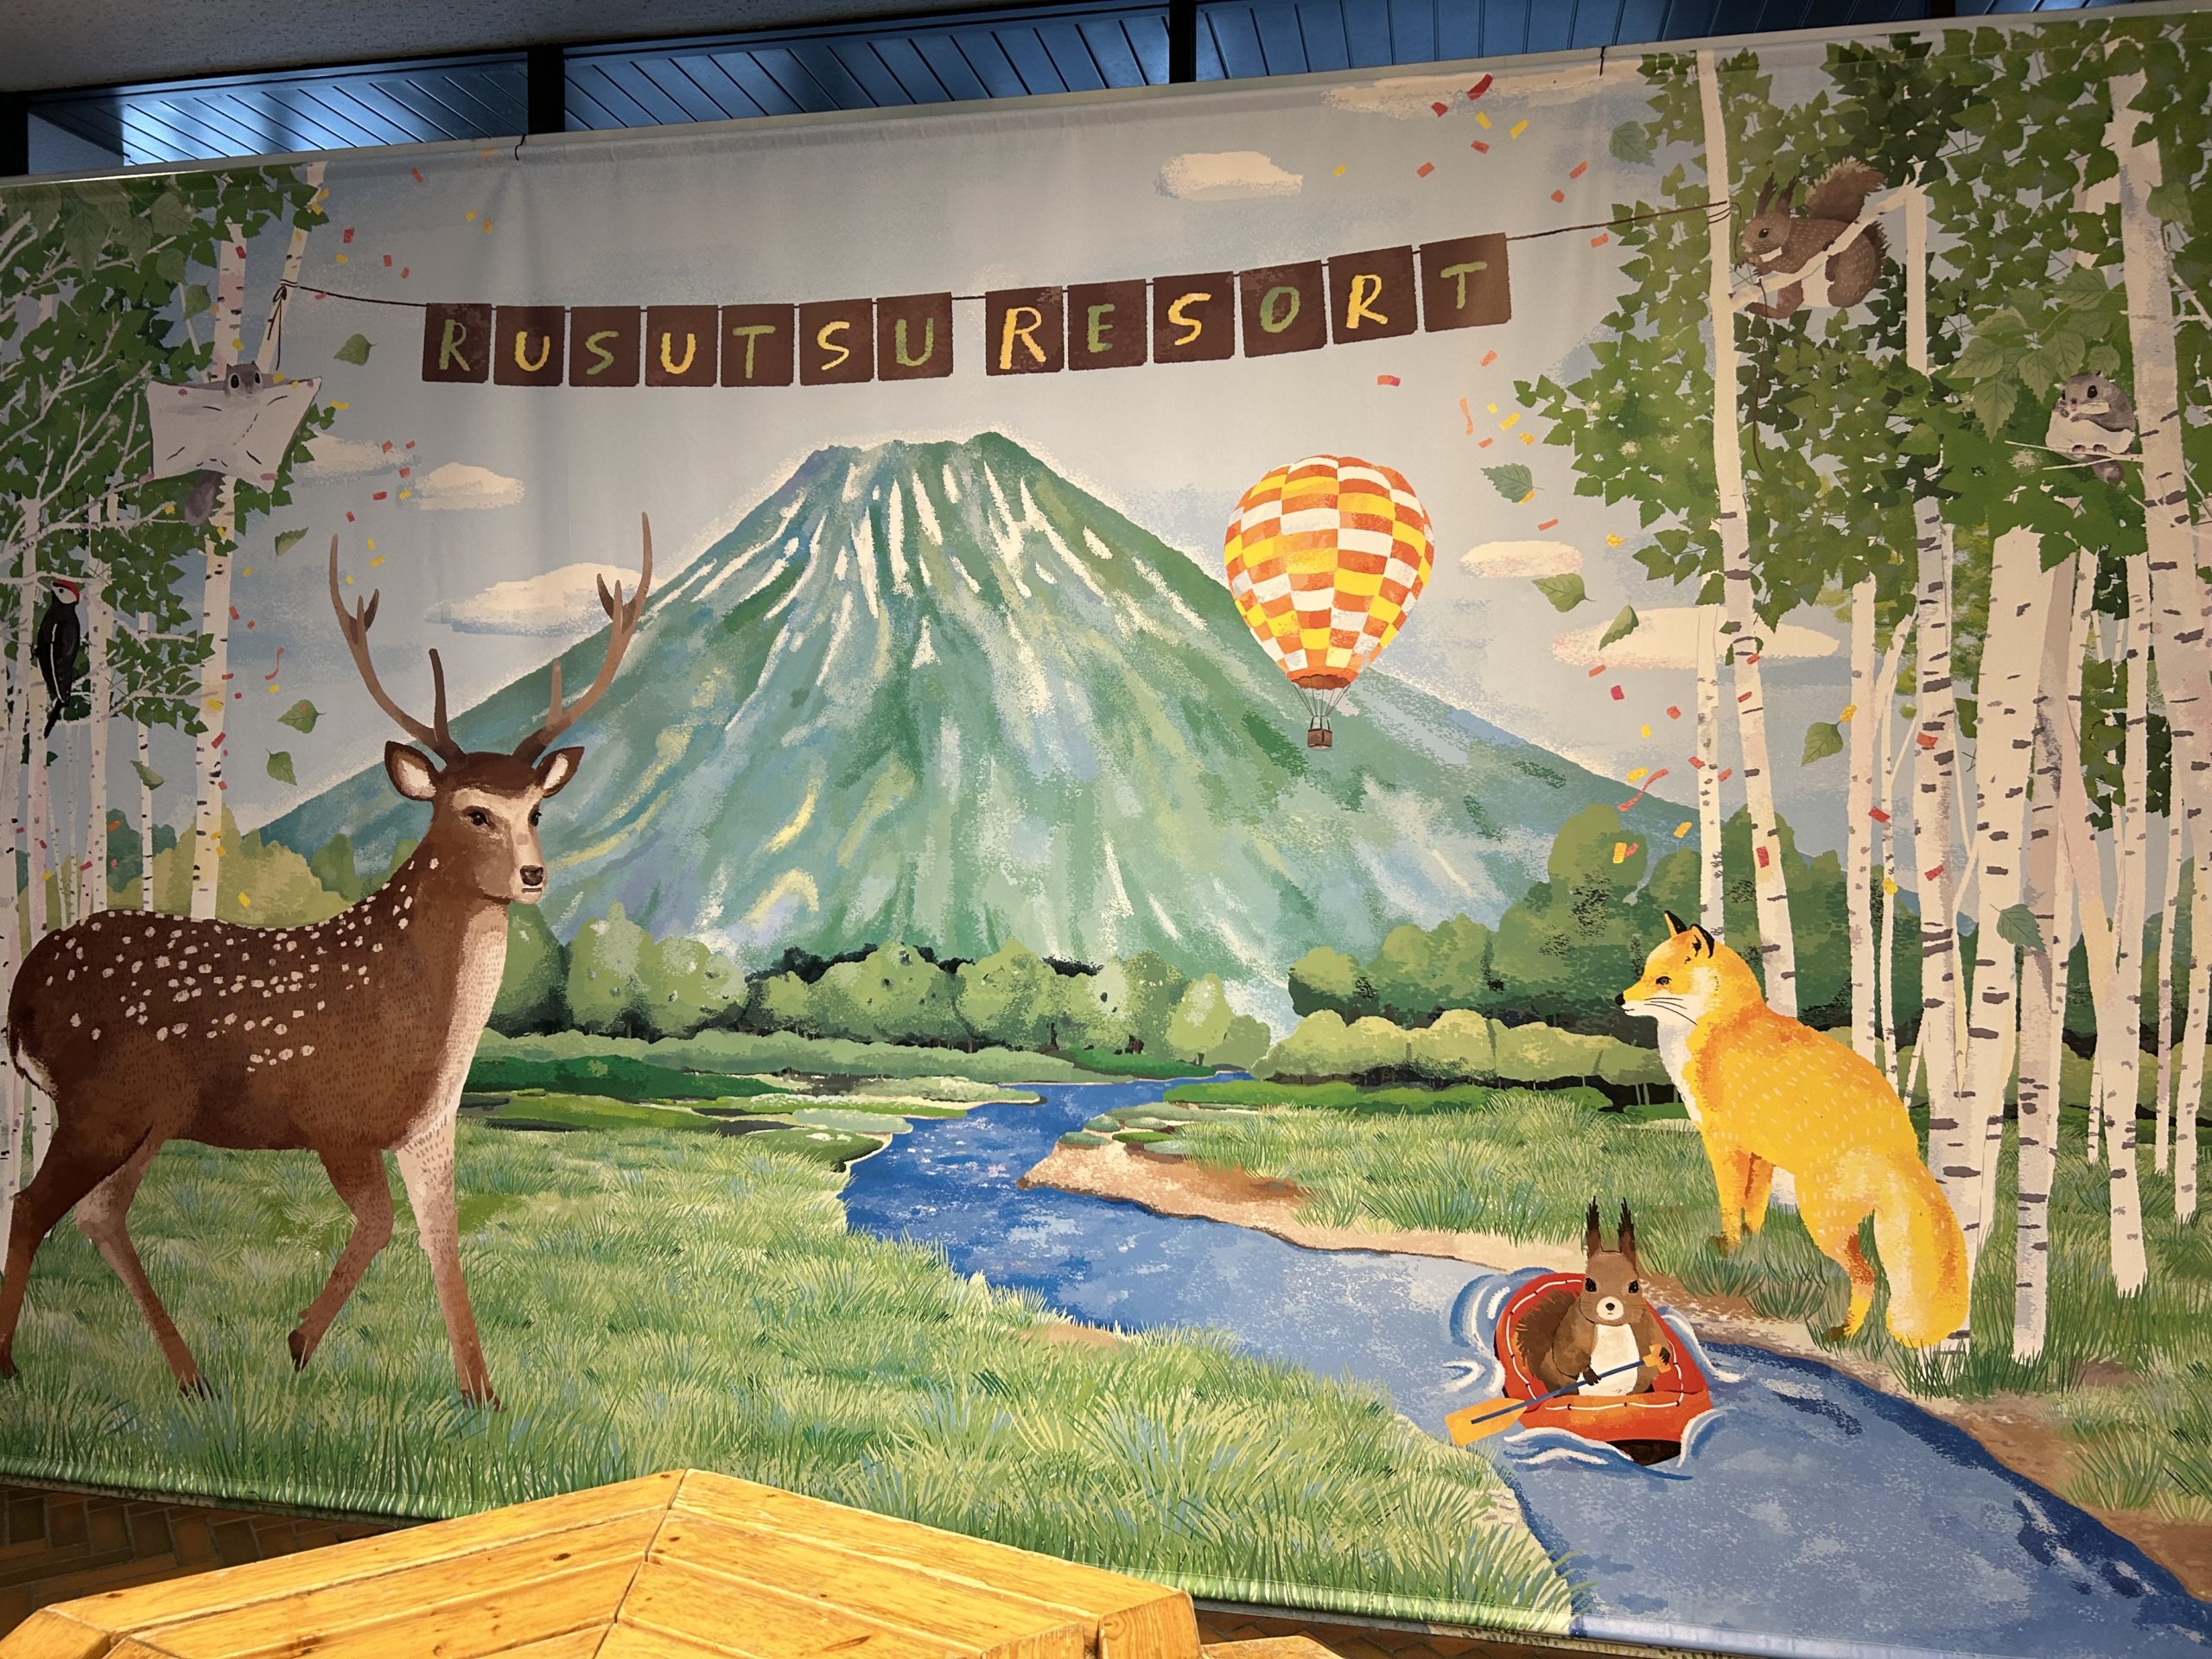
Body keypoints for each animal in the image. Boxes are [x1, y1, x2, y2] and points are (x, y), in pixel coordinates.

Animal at [0, 516, 654, 1408]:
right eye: (473, 811)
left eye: (538, 810)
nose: (533, 875)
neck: (425, 1032)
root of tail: (22, 993)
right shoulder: (334, 1117)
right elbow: (379, 1225)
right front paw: (299, 1342)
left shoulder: (428, 1128)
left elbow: (443, 1239)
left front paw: (481, 1395)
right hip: (103, 1105)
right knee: (33, 1205)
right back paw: (17, 1365)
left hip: (144, 1116)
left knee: (100, 1215)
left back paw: (192, 1378)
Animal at [1617, 913, 1969, 1347]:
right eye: (1645, 973)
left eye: (1662, 980)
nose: (1620, 999)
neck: (1720, 1027)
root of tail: (1902, 1144)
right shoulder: (1761, 1153)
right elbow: (1754, 1209)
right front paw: (1749, 1247)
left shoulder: (1725, 1141)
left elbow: (1729, 1205)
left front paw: (1728, 1249)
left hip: (1820, 1216)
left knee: (1867, 1275)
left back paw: (1842, 1334)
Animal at [1737, 161, 1889, 321]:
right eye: (1747, 227)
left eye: (1764, 232)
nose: (1744, 246)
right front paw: (1745, 259)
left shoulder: (1800, 245)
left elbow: (1793, 262)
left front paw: (1764, 266)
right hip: (1792, 287)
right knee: (1784, 312)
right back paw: (1757, 308)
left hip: (1851, 267)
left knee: (1840, 291)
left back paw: (1831, 264)